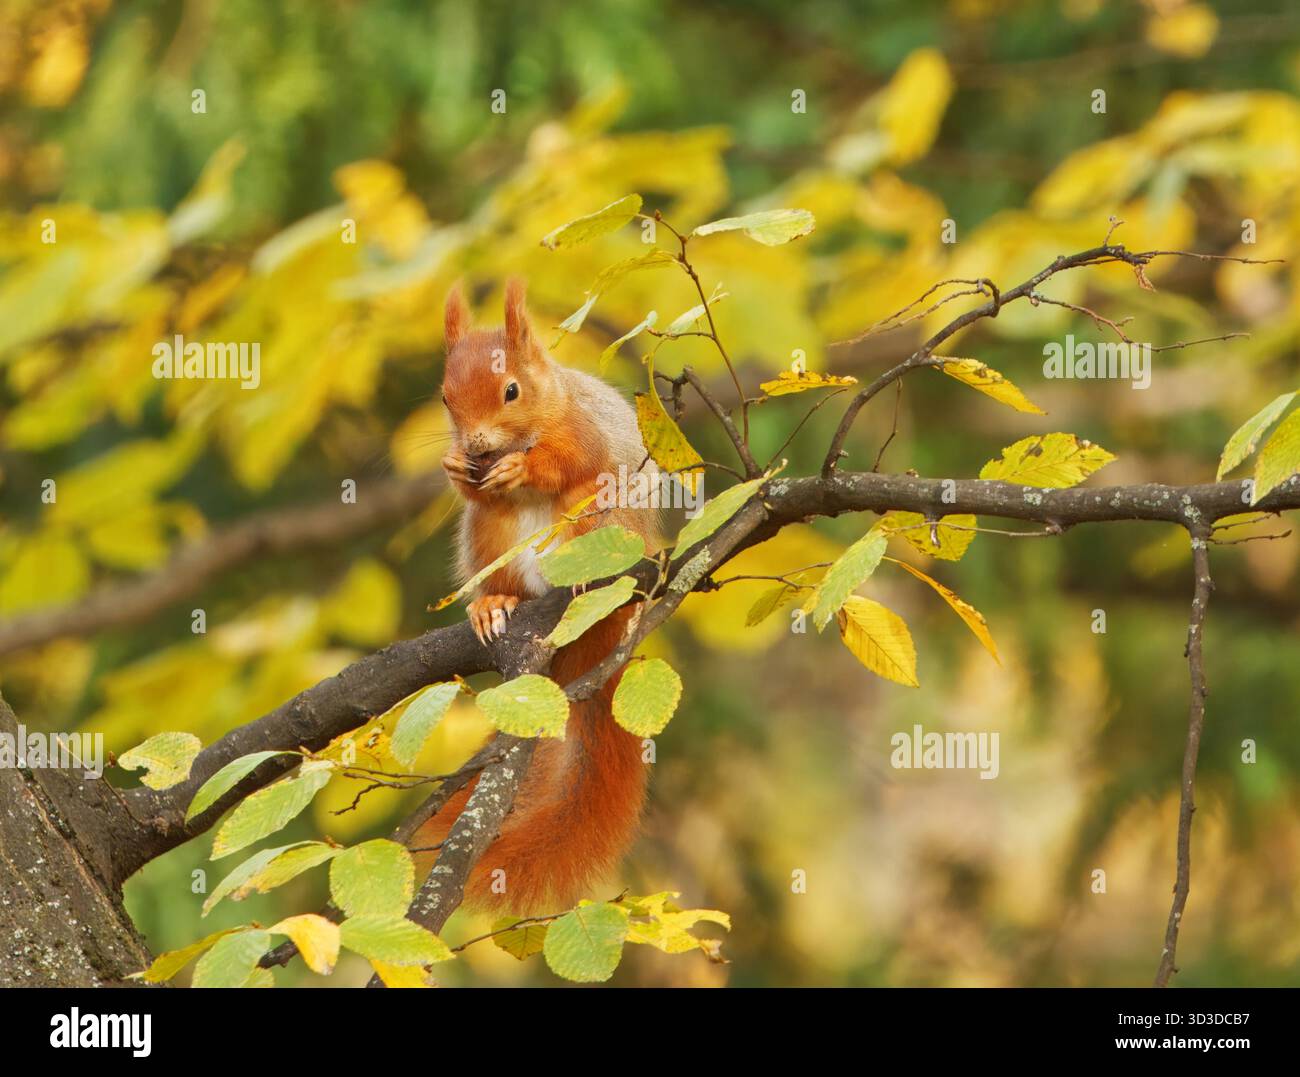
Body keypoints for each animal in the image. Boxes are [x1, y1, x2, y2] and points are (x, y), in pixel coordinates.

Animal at [413, 279, 661, 915]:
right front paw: (455, 464)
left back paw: (580, 584)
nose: (474, 443)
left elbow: (570, 459)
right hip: (487, 538)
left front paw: (522, 468)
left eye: (511, 390)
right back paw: (492, 605)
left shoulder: (581, 430)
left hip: (597, 519)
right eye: (445, 397)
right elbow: (469, 485)